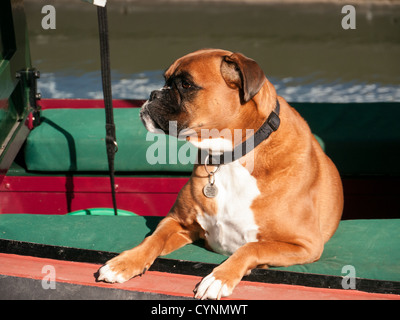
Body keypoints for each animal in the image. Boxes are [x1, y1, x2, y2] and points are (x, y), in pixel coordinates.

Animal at [97, 48, 344, 298]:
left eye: (186, 84)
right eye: (165, 80)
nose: (153, 94)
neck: (230, 156)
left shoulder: (306, 245)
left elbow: (252, 247)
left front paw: (219, 277)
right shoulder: (176, 222)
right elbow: (153, 239)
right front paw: (125, 262)